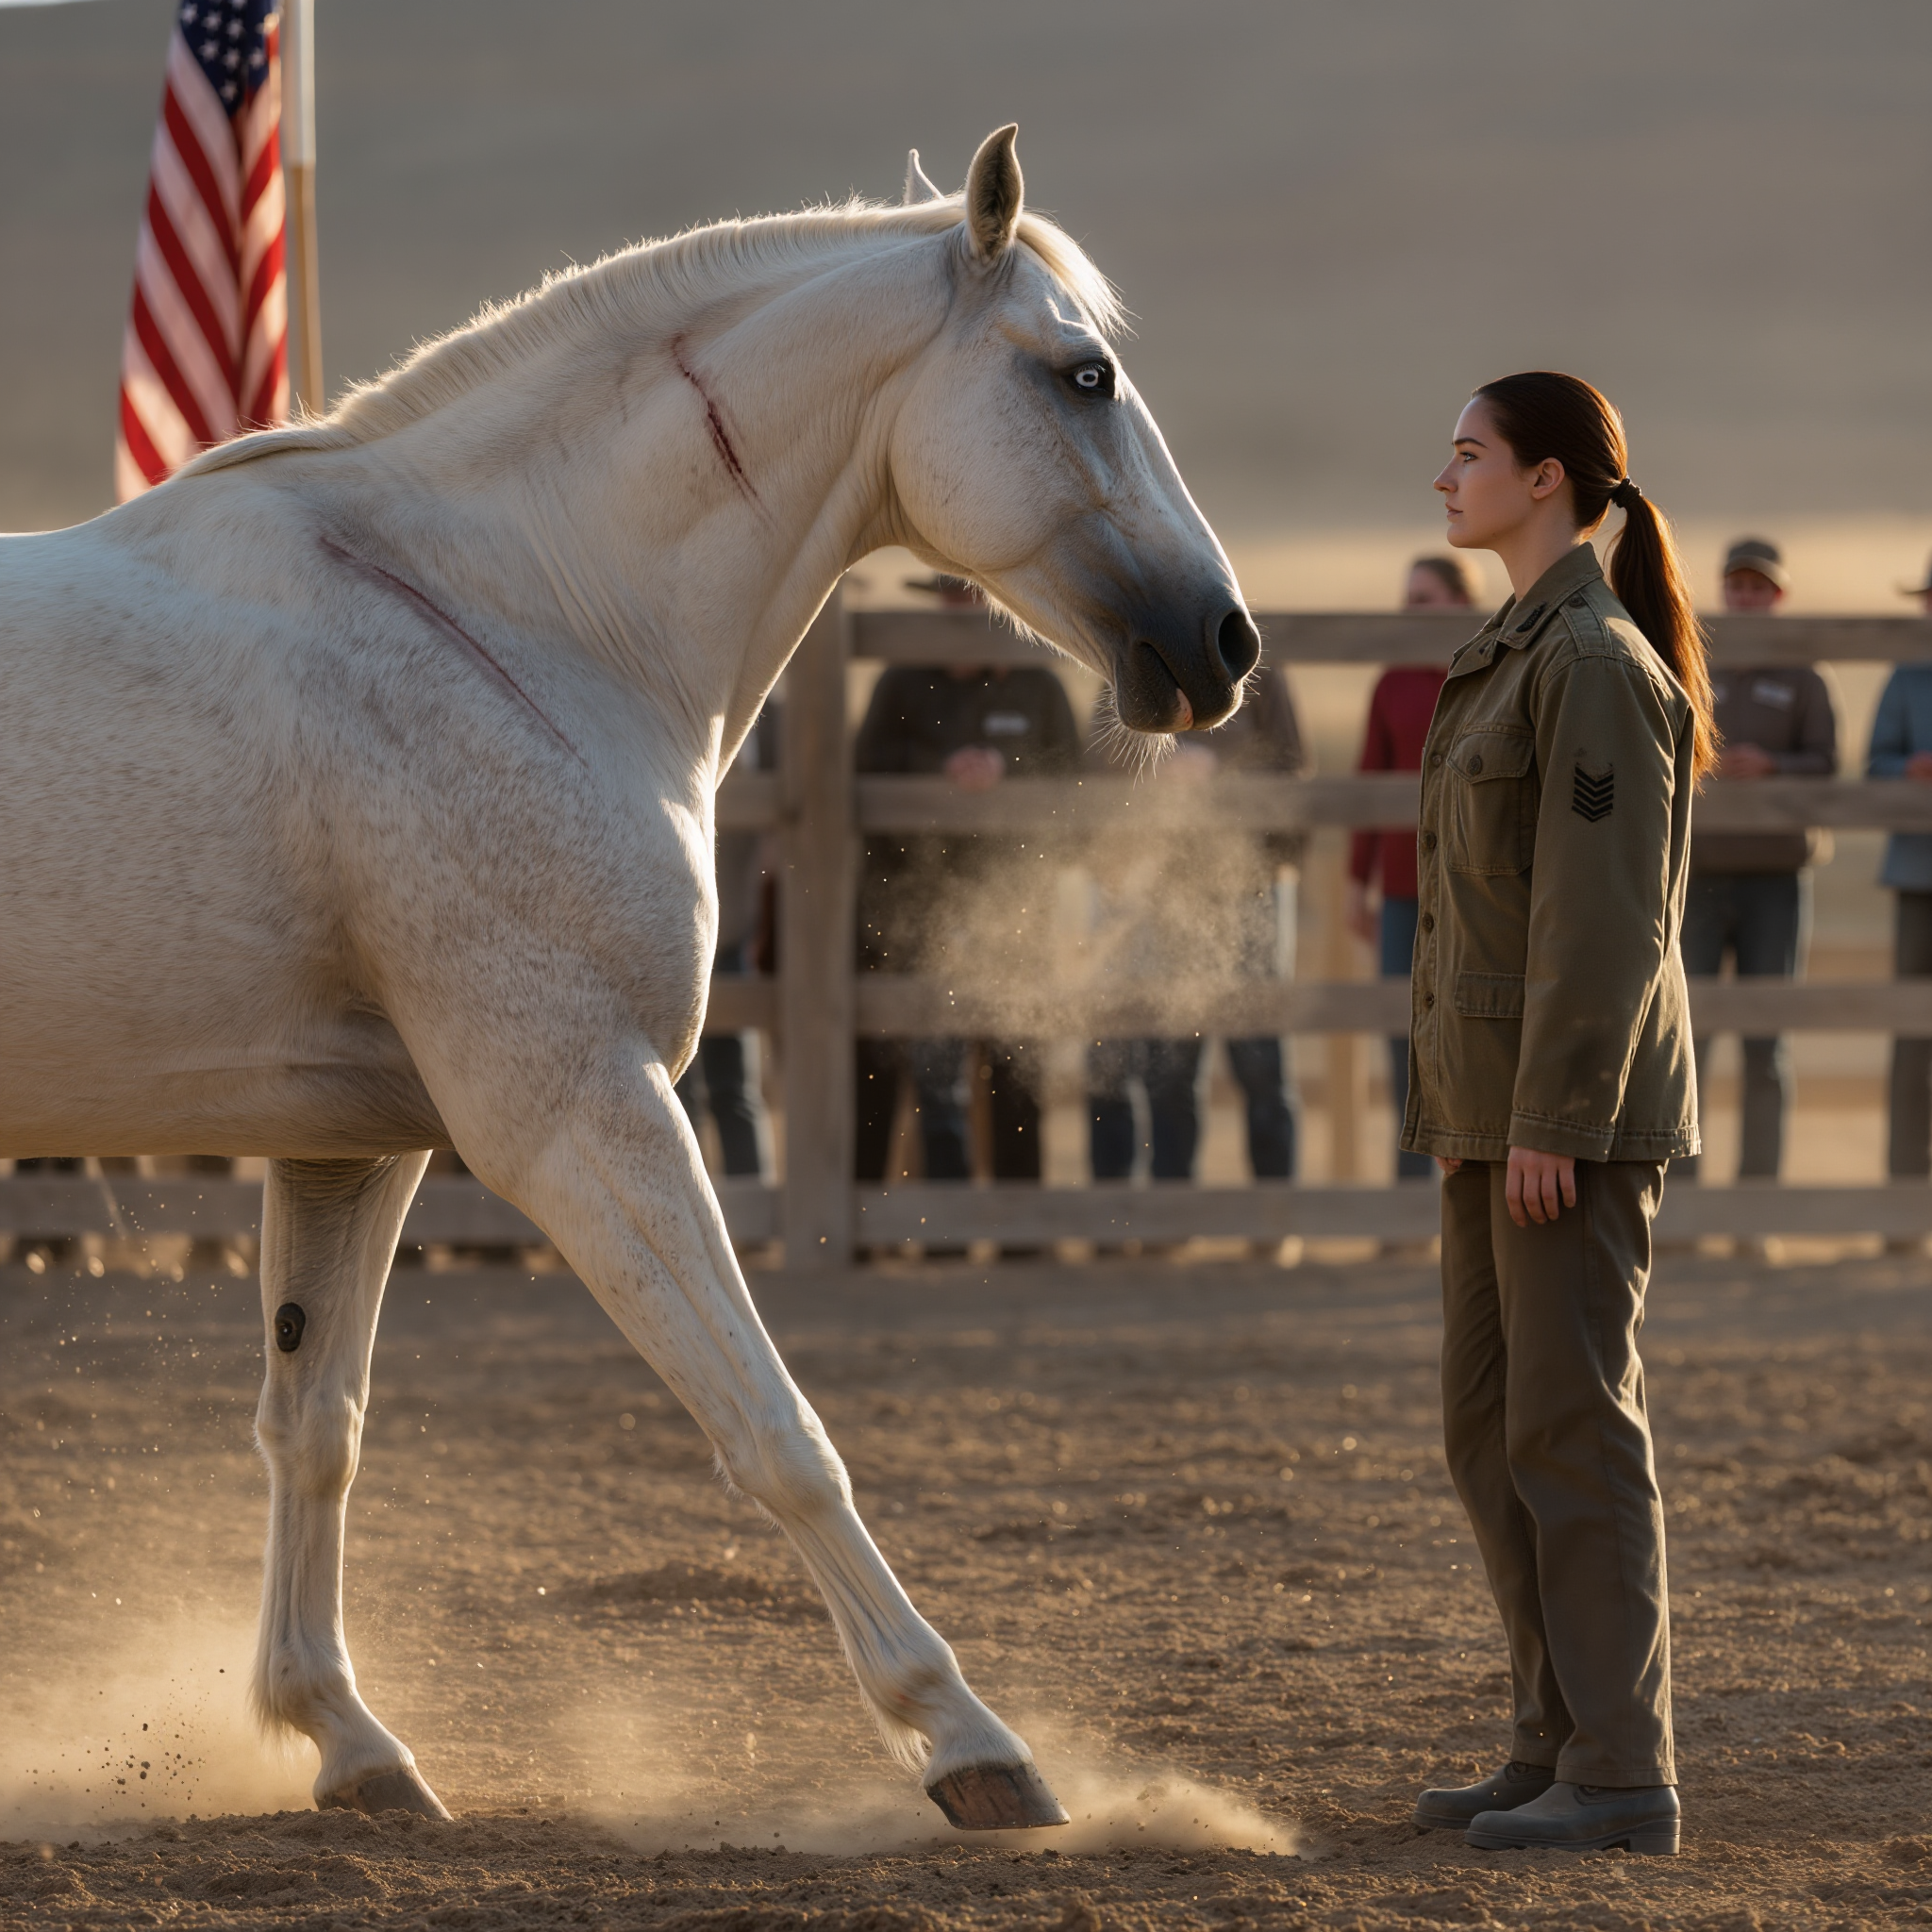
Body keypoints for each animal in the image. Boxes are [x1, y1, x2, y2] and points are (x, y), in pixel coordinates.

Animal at [0, 127, 1260, 1830]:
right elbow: (774, 1428)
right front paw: (966, 1740)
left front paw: (346, 1737)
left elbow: (315, 1427)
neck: (507, 612)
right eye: (1081, 374)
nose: (1223, 640)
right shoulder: (580, 1113)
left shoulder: (353, 1147)